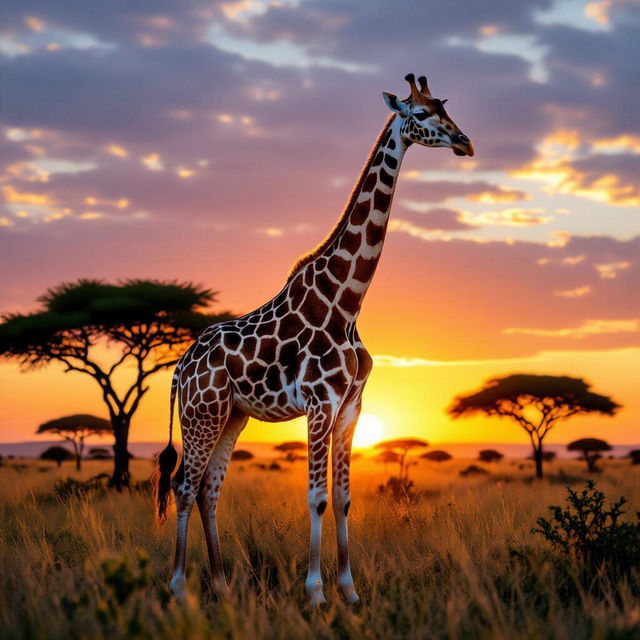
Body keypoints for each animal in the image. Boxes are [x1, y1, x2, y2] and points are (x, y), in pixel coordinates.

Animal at [155, 73, 474, 606]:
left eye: (445, 107)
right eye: (420, 114)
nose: (465, 142)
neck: (348, 300)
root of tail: (181, 368)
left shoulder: (351, 405)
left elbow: (343, 499)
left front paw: (350, 592)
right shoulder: (320, 402)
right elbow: (317, 497)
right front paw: (316, 592)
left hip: (232, 415)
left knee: (208, 488)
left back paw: (220, 586)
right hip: (202, 413)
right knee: (183, 485)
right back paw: (179, 588)